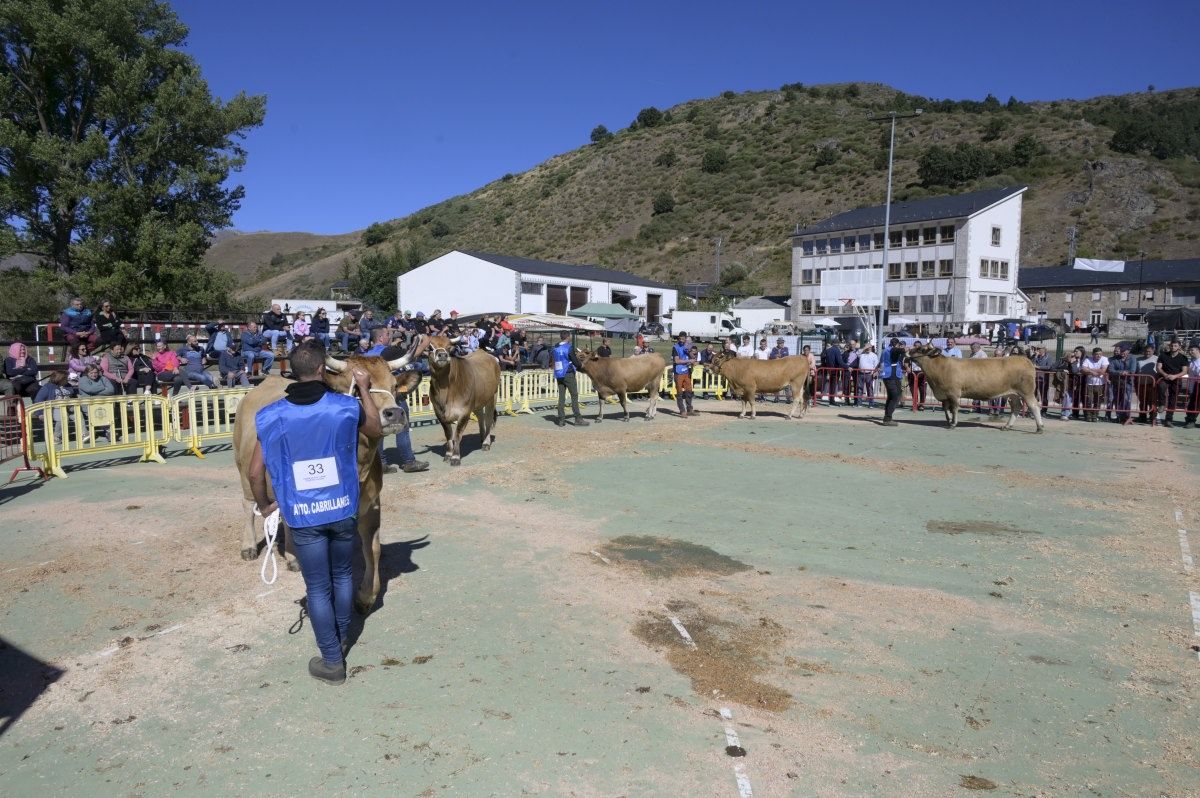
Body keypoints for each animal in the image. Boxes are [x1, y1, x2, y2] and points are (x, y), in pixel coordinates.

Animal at [424, 333, 499, 463]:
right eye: (430, 347)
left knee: (488, 419)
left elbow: (457, 434)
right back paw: (481, 437)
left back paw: (486, 443)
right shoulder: (439, 413)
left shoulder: (464, 411)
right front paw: (448, 454)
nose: (442, 355)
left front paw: (455, 457)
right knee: (481, 417)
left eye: (449, 347)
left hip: (491, 397)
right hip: (477, 401)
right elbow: (448, 434)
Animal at [907, 340, 1041, 429]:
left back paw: (1039, 427)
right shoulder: (944, 395)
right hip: (1012, 394)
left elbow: (954, 409)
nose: (908, 352)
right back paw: (1007, 426)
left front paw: (953, 424)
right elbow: (946, 409)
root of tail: (1024, 359)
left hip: (1027, 391)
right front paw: (949, 421)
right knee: (1017, 407)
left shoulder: (953, 393)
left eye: (921, 349)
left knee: (1034, 406)